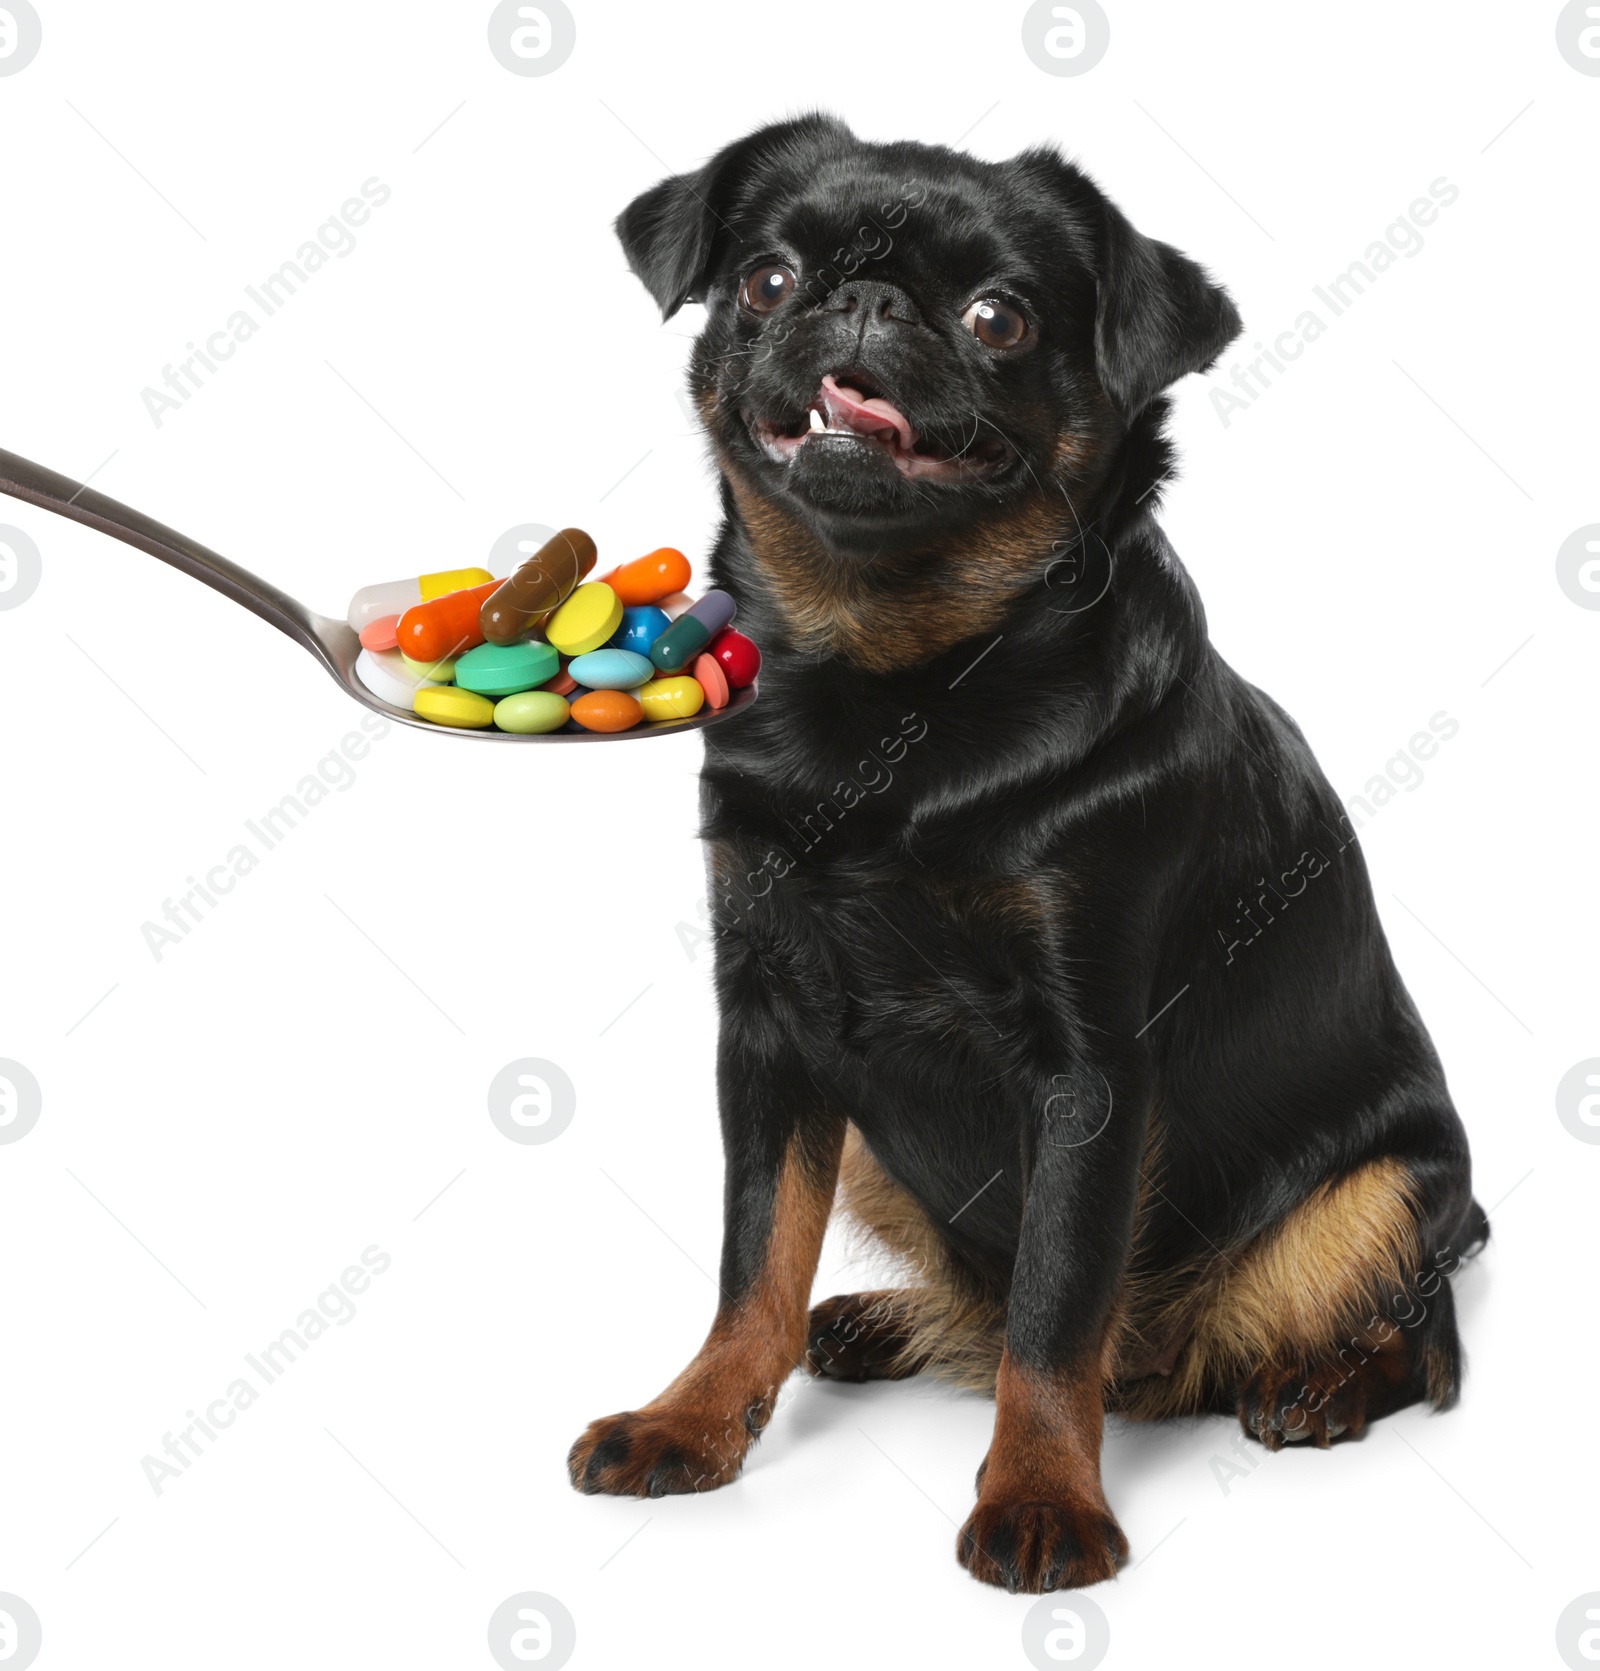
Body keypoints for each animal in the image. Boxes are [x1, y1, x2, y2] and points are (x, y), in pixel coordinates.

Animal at [571, 117, 1483, 1590]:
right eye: (766, 281)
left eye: (1000, 319)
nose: (865, 301)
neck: (893, 693)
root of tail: (1170, 1366)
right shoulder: (766, 1032)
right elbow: (754, 1255)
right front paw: (694, 1418)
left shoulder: (1088, 1068)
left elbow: (1060, 1309)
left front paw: (1044, 1496)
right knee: (976, 1305)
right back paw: (882, 1324)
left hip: (1392, 1187)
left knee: (1417, 1338)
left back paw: (1317, 1385)